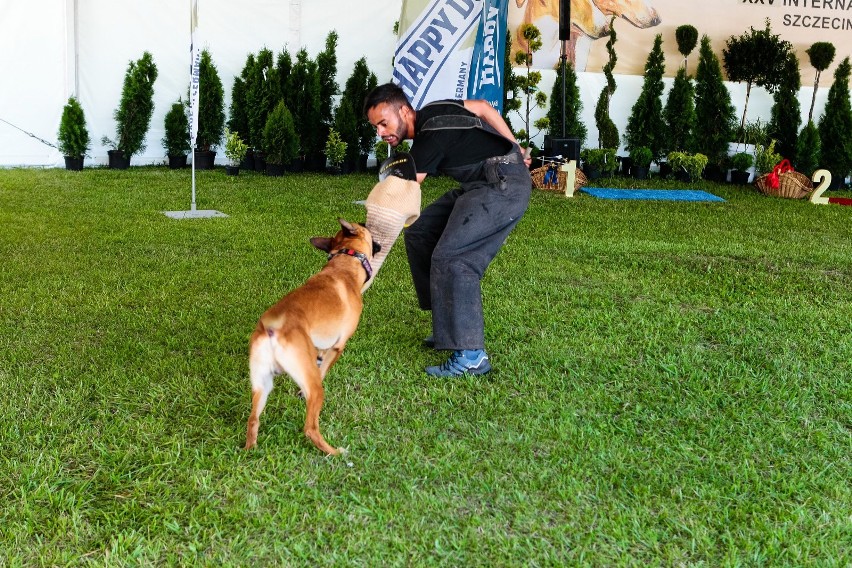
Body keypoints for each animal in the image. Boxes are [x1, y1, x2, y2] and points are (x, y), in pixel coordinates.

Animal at [246, 220, 380, 454]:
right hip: (314, 389)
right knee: (310, 428)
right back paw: (335, 452)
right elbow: (324, 367)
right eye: (364, 224)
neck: (346, 261)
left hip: (262, 384)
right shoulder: (338, 346)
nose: (368, 222)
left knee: (253, 420)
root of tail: (272, 328)